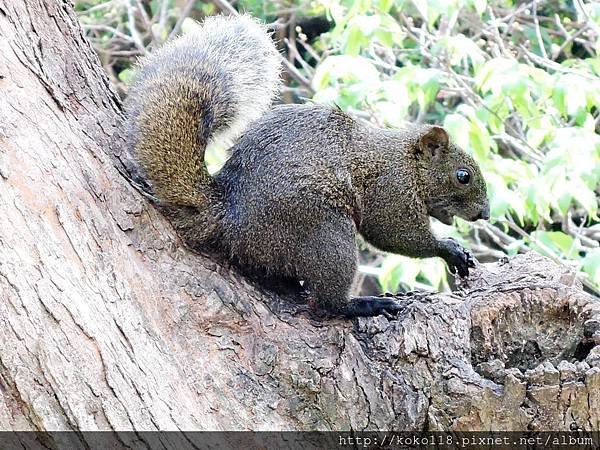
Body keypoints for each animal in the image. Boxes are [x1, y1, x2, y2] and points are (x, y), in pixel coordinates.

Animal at [124, 14, 490, 316]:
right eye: (463, 176)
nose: (486, 213)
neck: (405, 161)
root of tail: (229, 217)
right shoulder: (390, 189)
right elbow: (395, 234)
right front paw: (450, 249)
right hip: (324, 233)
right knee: (328, 302)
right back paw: (361, 304)